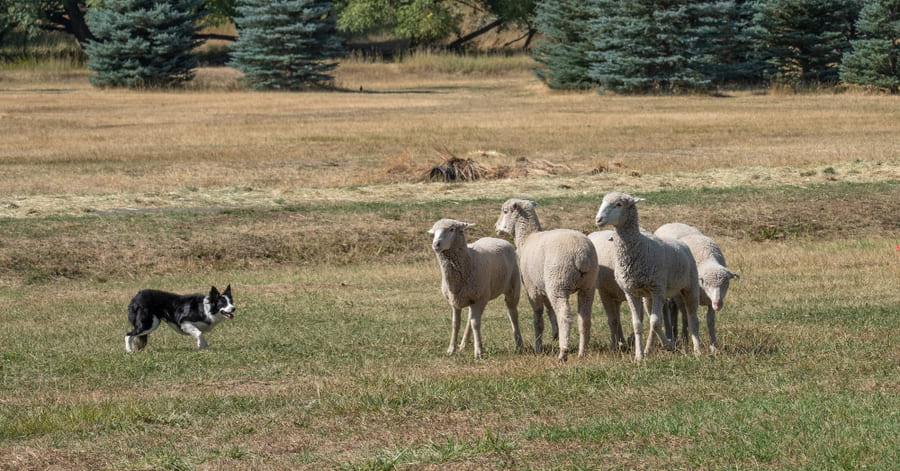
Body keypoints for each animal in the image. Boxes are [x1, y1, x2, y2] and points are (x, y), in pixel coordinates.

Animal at [428, 219, 524, 360]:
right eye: (433, 232)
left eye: (451, 229)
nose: (436, 244)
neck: (469, 259)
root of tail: (497, 239)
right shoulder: (455, 300)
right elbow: (455, 324)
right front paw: (451, 349)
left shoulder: (479, 299)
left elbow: (476, 324)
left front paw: (478, 351)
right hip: (473, 297)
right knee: (470, 318)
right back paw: (463, 344)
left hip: (512, 288)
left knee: (513, 314)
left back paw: (519, 343)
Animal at [492, 199, 596, 362]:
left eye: (505, 211)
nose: (495, 227)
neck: (527, 238)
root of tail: (582, 255)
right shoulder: (543, 286)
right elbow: (549, 309)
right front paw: (555, 332)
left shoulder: (532, 289)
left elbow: (538, 320)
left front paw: (538, 347)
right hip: (587, 285)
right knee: (584, 318)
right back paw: (582, 352)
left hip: (558, 283)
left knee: (564, 316)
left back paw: (563, 353)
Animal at [596, 192, 704, 362]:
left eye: (619, 204)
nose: (598, 219)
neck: (640, 247)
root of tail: (681, 243)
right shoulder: (631, 292)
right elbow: (639, 324)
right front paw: (639, 356)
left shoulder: (658, 289)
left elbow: (655, 322)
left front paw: (669, 345)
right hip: (648, 297)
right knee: (655, 319)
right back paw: (648, 349)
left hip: (689, 287)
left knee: (693, 319)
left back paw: (697, 350)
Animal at [652, 223, 740, 352]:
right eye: (706, 284)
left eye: (726, 284)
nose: (718, 304)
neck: (707, 258)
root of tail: (669, 223)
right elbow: (688, 318)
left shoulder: (709, 302)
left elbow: (710, 321)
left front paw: (713, 346)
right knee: (671, 310)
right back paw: (674, 336)